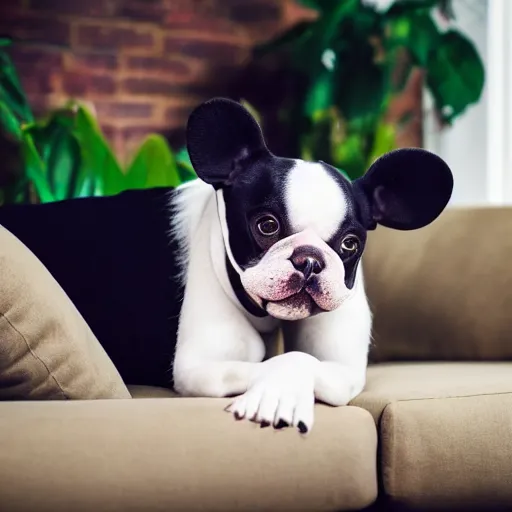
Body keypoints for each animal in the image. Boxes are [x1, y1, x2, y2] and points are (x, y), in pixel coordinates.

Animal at [0, 97, 454, 432]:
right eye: (266, 225)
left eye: (350, 243)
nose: (309, 260)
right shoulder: (199, 367)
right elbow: (272, 358)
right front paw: (275, 393)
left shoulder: (343, 370)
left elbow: (300, 358)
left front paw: (279, 391)